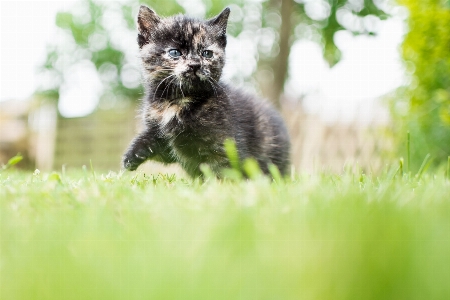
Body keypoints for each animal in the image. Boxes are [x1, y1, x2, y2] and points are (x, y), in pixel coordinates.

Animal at [122, 5, 292, 177]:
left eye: (207, 53)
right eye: (175, 52)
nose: (195, 64)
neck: (178, 100)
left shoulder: (224, 145)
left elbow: (223, 172)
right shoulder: (165, 140)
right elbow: (152, 142)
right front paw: (132, 156)